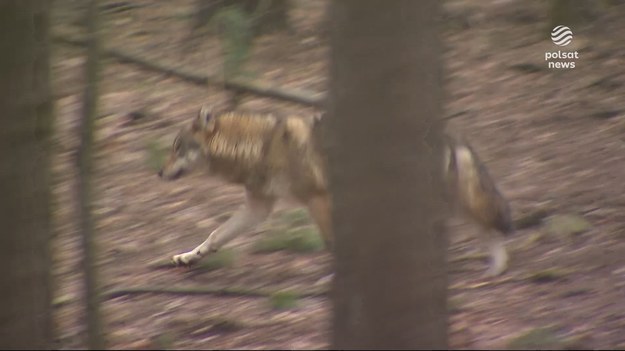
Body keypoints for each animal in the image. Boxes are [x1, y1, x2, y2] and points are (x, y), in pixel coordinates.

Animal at [157, 104, 512, 278]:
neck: (260, 148)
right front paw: (188, 257)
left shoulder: (319, 199)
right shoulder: (259, 208)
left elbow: (331, 244)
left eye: (177, 148)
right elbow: (215, 235)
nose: (158, 172)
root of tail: (450, 132)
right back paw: (494, 267)